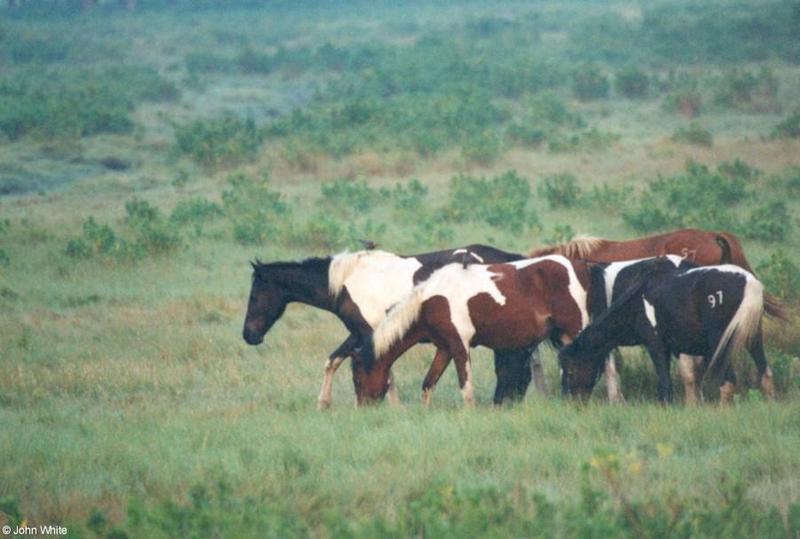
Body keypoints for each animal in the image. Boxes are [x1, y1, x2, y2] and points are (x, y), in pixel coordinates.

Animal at [239, 246, 536, 410]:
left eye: (253, 296)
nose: (249, 335)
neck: (346, 281)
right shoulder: (359, 333)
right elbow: (333, 360)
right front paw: (324, 403)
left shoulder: (370, 332)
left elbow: (385, 371)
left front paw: (392, 406)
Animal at [350, 255, 588, 408]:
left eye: (358, 379)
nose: (363, 409)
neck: (431, 299)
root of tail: (579, 266)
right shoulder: (444, 348)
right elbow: (428, 383)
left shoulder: (459, 345)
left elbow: (465, 386)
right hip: (564, 337)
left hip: (575, 332)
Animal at [560, 258, 764, 404]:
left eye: (570, 370)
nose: (569, 401)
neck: (637, 300)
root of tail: (749, 282)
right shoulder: (676, 348)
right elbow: (689, 378)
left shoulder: (657, 346)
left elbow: (666, 383)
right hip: (753, 339)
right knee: (765, 374)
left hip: (721, 344)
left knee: (729, 381)